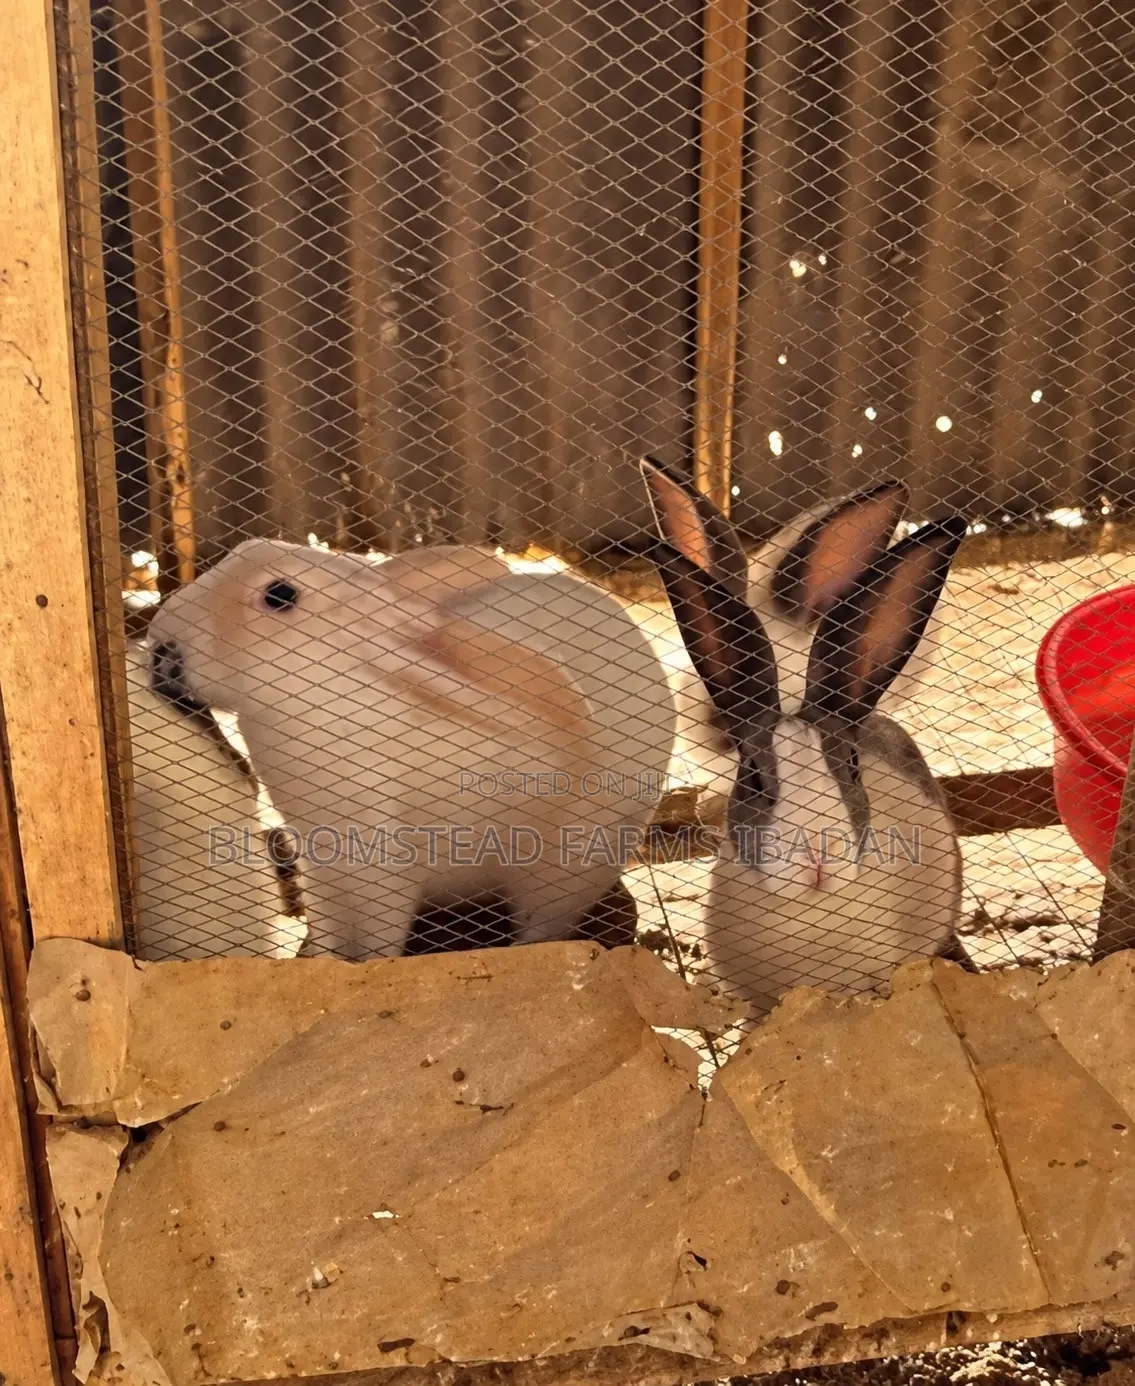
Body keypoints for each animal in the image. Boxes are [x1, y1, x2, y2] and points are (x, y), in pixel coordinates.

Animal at [146, 540, 676, 960]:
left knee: (544, 925)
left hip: (564, 872)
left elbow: (378, 943)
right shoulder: (322, 869)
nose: (162, 644)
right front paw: (317, 959)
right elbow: (328, 934)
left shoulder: (385, 875)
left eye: (280, 595)